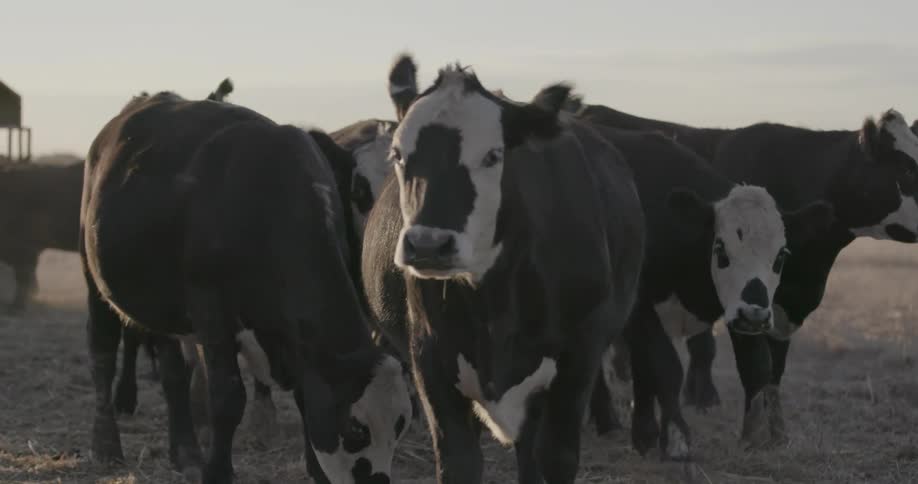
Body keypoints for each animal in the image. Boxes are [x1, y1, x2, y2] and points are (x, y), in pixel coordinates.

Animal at [82, 91, 411, 484]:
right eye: (355, 429)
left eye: (400, 426)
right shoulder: (211, 310)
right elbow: (227, 397)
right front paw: (218, 472)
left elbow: (304, 394)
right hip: (96, 281)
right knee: (102, 355)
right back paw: (106, 445)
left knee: (173, 375)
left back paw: (185, 452)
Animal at [362, 61, 646, 483]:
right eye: (398, 154)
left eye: (493, 155)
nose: (428, 245)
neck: (494, 303)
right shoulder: (430, 359)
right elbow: (460, 462)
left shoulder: (579, 359)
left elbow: (556, 458)